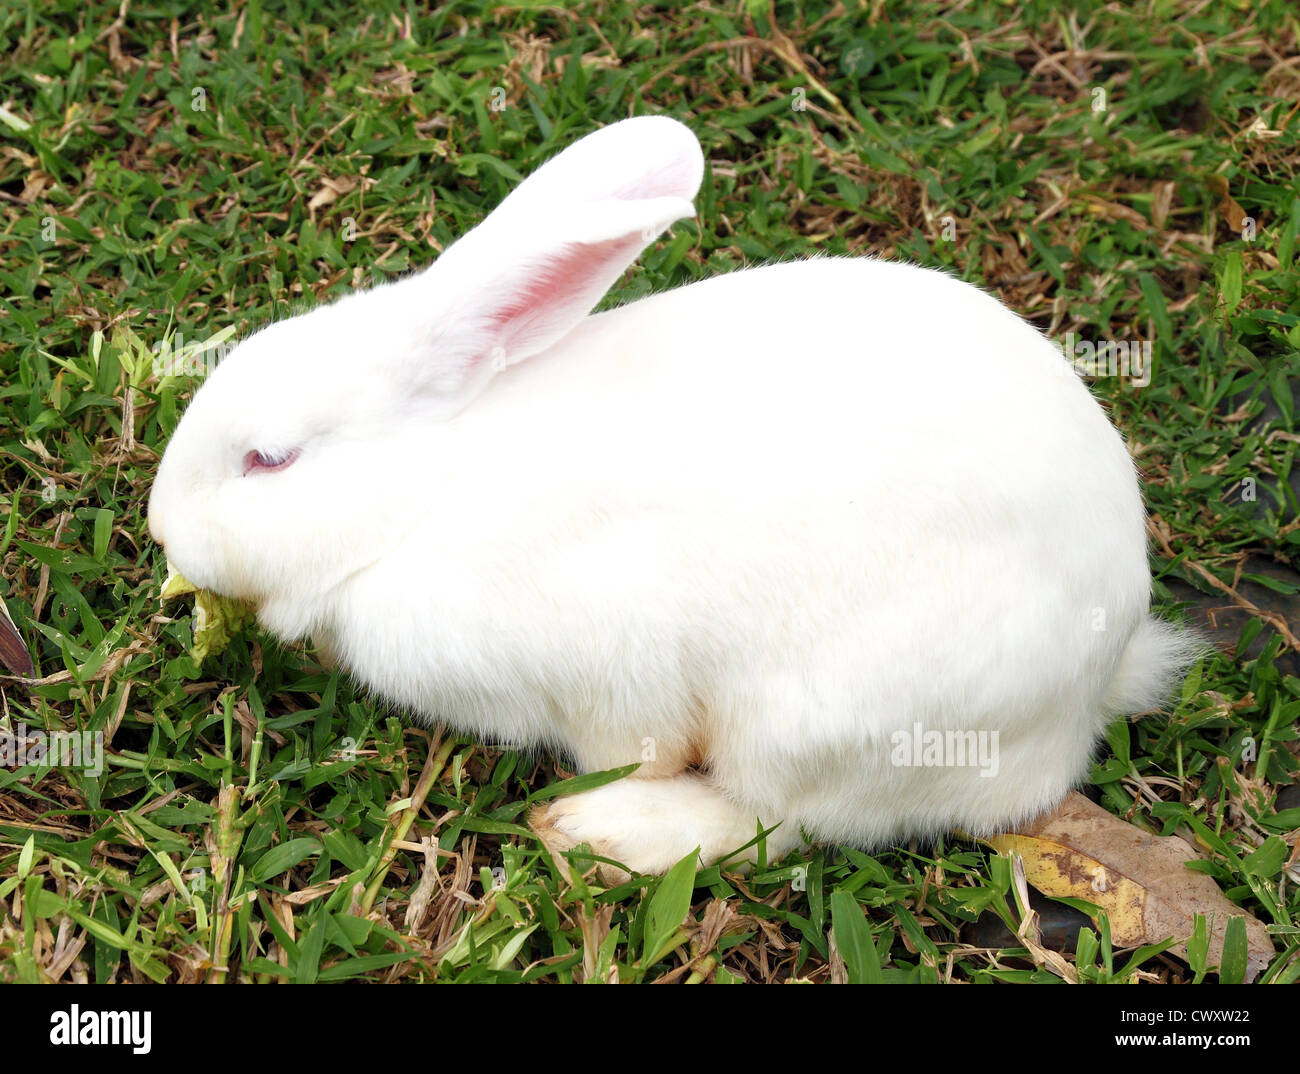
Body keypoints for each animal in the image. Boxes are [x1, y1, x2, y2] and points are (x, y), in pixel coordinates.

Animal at [144, 115, 1196, 868]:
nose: (163, 532)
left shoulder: (607, 671)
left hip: (822, 722)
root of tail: (1097, 682)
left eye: (269, 460)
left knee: (787, 822)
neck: (428, 492)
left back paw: (605, 831)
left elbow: (640, 740)